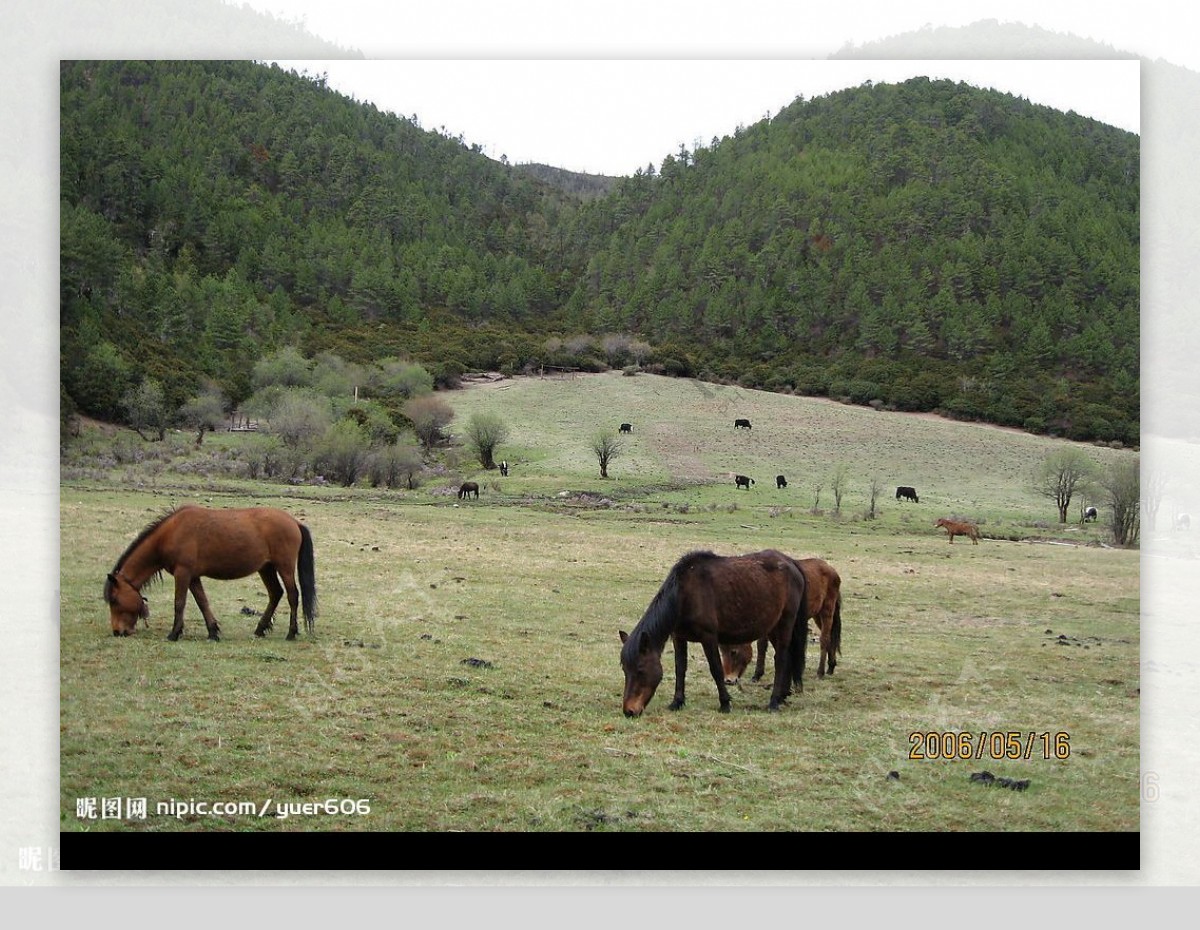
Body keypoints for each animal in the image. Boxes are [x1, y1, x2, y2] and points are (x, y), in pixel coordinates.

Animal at [105, 506, 316, 643]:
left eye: (114, 600)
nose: (117, 631)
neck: (170, 533)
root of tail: (294, 522)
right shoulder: (193, 577)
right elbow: (202, 602)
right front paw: (213, 632)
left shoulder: (183, 573)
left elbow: (179, 603)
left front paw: (174, 634)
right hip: (266, 568)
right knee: (275, 593)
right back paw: (260, 629)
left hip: (284, 567)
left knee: (292, 595)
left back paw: (291, 632)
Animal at [619, 549, 806, 715]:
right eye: (625, 670)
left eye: (640, 670)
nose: (629, 711)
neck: (685, 594)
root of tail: (792, 563)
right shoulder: (679, 637)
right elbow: (680, 669)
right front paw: (677, 702)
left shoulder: (708, 637)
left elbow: (716, 669)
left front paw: (725, 703)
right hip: (773, 627)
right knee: (788, 658)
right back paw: (782, 696)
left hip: (785, 623)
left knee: (781, 659)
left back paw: (773, 702)